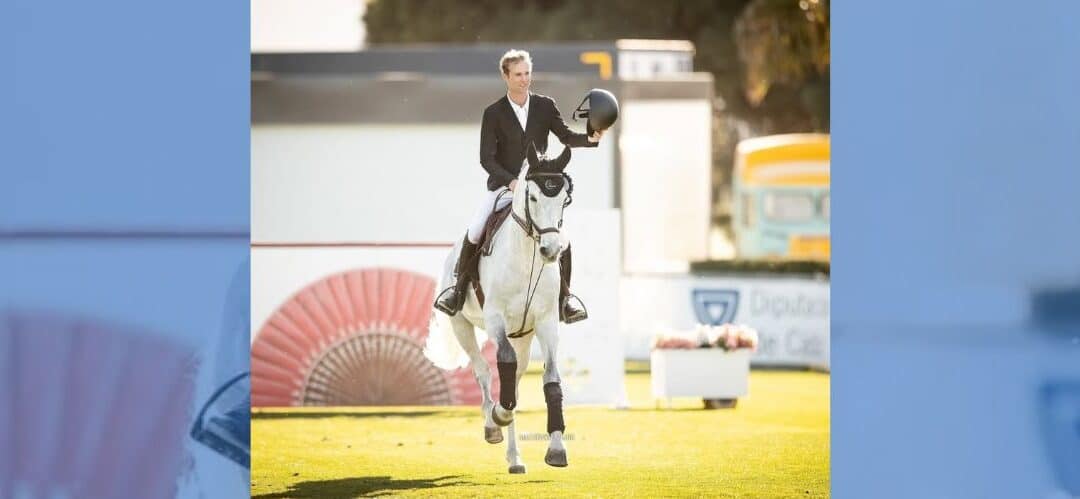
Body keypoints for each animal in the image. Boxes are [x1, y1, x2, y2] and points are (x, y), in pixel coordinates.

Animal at [421, 144, 574, 475]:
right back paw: (493, 424)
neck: (527, 256)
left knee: (513, 385)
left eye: (564, 200)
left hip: (523, 336)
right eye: (533, 197)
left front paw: (556, 449)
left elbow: (551, 380)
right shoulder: (495, 319)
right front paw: (498, 416)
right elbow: (502, 362)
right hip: (463, 326)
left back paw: (515, 458)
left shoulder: (546, 323)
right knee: (483, 371)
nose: (551, 251)